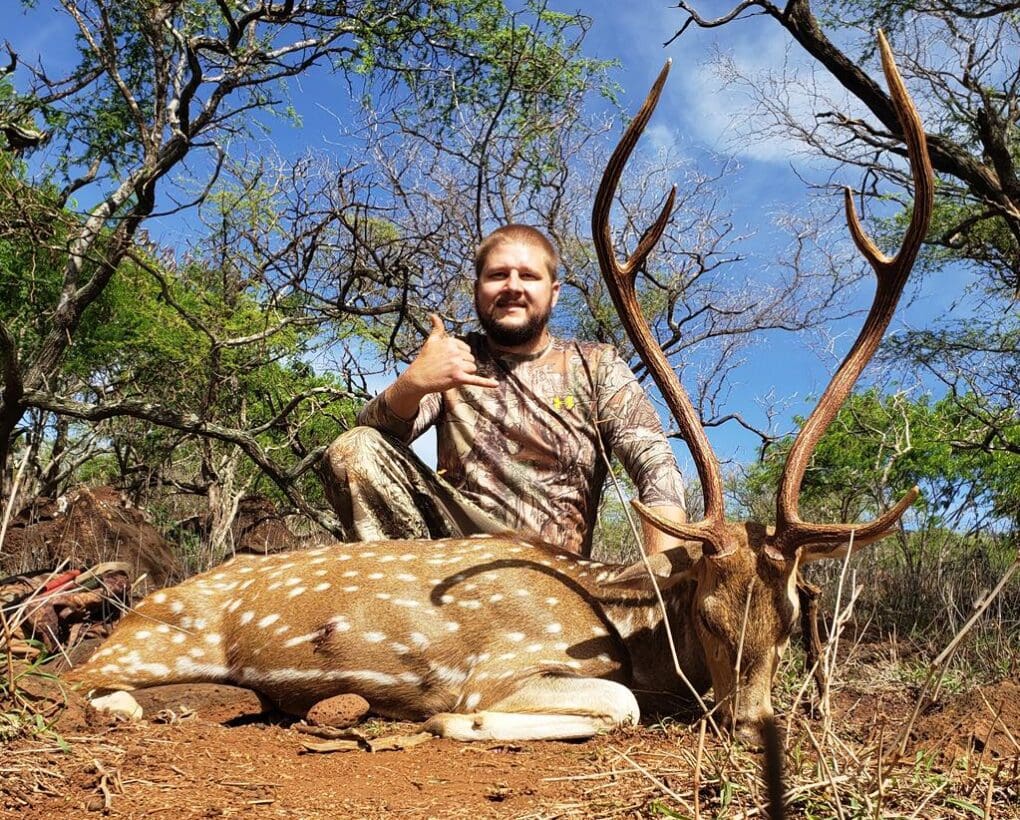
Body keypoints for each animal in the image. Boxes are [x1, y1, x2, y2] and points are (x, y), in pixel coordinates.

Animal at [66, 33, 933, 745]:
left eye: (789, 619)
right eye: (710, 616)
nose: (753, 726)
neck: (628, 626)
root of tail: (141, 601)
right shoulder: (507, 662)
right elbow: (611, 704)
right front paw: (450, 719)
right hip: (154, 642)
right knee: (80, 678)